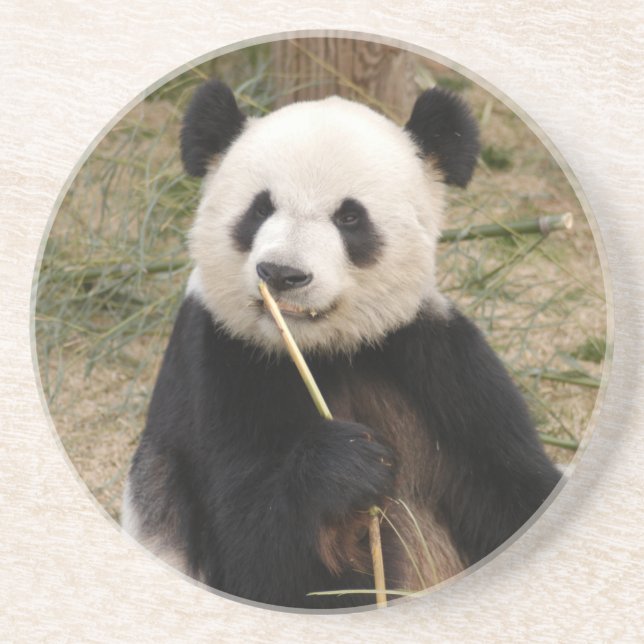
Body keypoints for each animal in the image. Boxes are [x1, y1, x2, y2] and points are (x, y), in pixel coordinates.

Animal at [121, 78, 562, 609]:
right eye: (260, 208)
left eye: (350, 217)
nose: (282, 274)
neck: (322, 348)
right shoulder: (222, 364)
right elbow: (260, 560)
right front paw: (348, 467)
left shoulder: (436, 363)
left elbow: (517, 486)